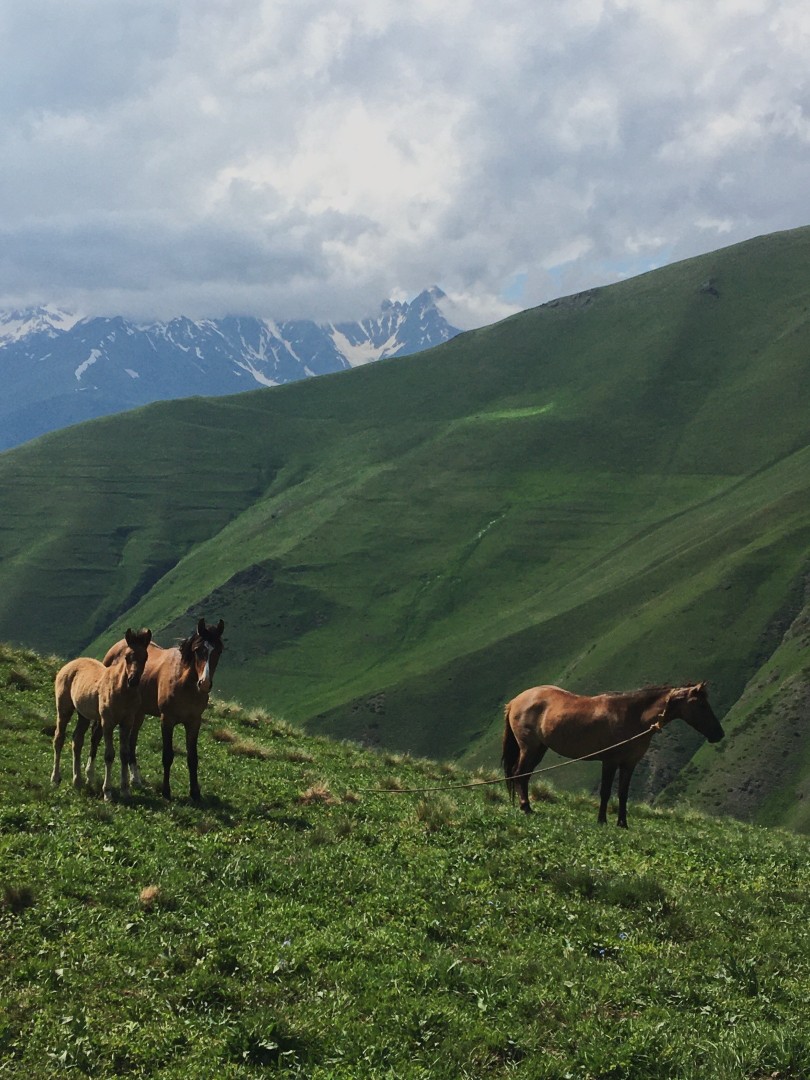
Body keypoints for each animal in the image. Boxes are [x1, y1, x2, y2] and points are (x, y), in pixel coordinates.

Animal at [51, 626, 152, 803]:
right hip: (64, 710)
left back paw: (77, 780)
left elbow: (124, 754)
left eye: (145, 657)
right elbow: (109, 755)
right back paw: (55, 779)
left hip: (83, 715)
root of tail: (69, 664)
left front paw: (125, 790)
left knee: (77, 740)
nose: (133, 680)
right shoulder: (107, 722)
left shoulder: (127, 722)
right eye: (127, 657)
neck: (122, 691)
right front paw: (108, 792)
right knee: (59, 738)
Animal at [97, 617, 225, 803]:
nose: (204, 683)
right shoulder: (167, 720)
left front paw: (195, 793)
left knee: (132, 742)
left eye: (219, 651)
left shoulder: (194, 722)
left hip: (139, 714)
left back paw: (135, 779)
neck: (183, 682)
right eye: (198, 650)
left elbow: (193, 758)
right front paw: (166, 791)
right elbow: (167, 756)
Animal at [505, 682, 725, 825]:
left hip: (539, 749)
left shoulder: (629, 764)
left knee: (525, 775)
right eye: (702, 705)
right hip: (529, 748)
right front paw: (602, 820)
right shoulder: (609, 761)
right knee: (519, 773)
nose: (719, 734)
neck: (633, 717)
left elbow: (622, 793)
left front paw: (622, 823)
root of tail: (516, 700)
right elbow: (605, 792)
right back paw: (525, 807)